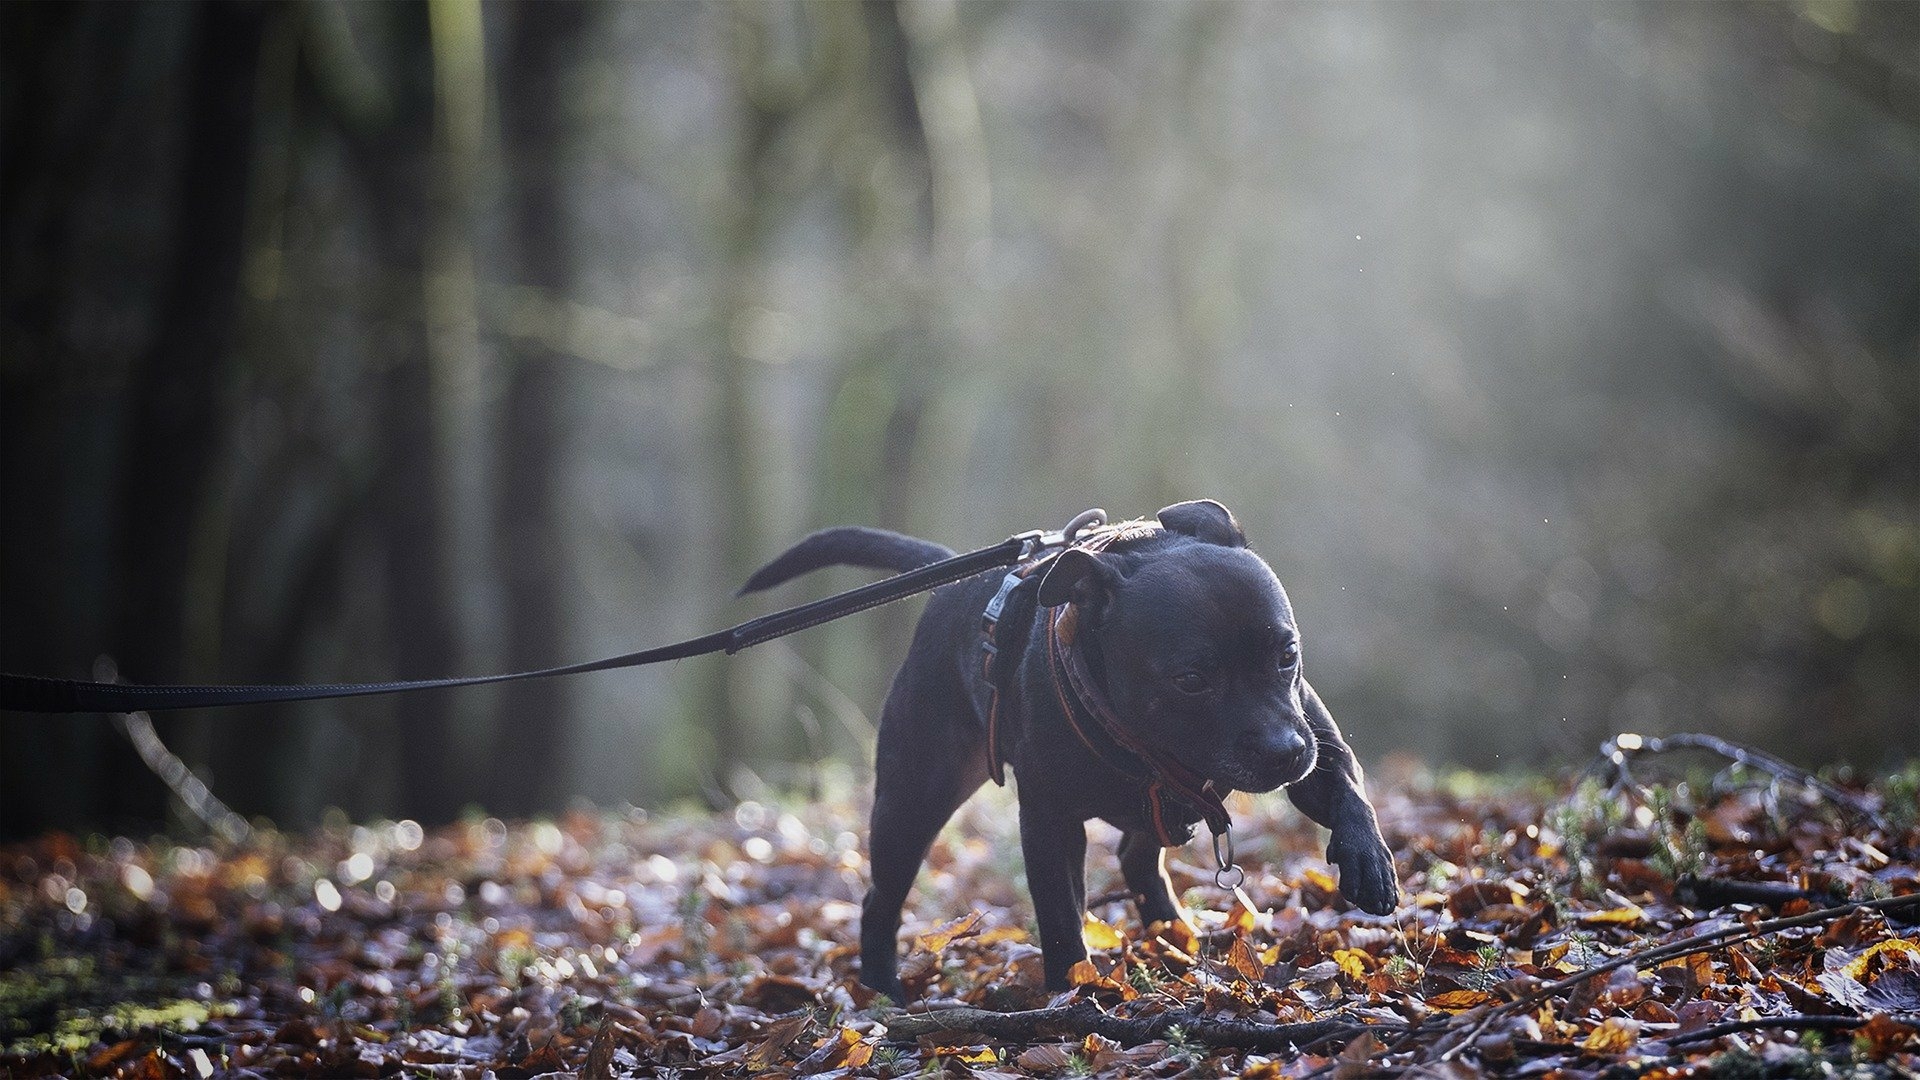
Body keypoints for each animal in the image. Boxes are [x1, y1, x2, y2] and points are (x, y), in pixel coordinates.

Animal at [737, 499, 1397, 991]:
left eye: (1287, 654)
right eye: (1191, 679)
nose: (1284, 751)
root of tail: (954, 583)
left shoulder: (1315, 744)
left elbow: (1346, 789)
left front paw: (1371, 863)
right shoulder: (1049, 820)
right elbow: (1059, 916)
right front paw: (1073, 996)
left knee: (1138, 856)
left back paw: (1175, 936)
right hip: (913, 800)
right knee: (882, 898)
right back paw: (882, 993)